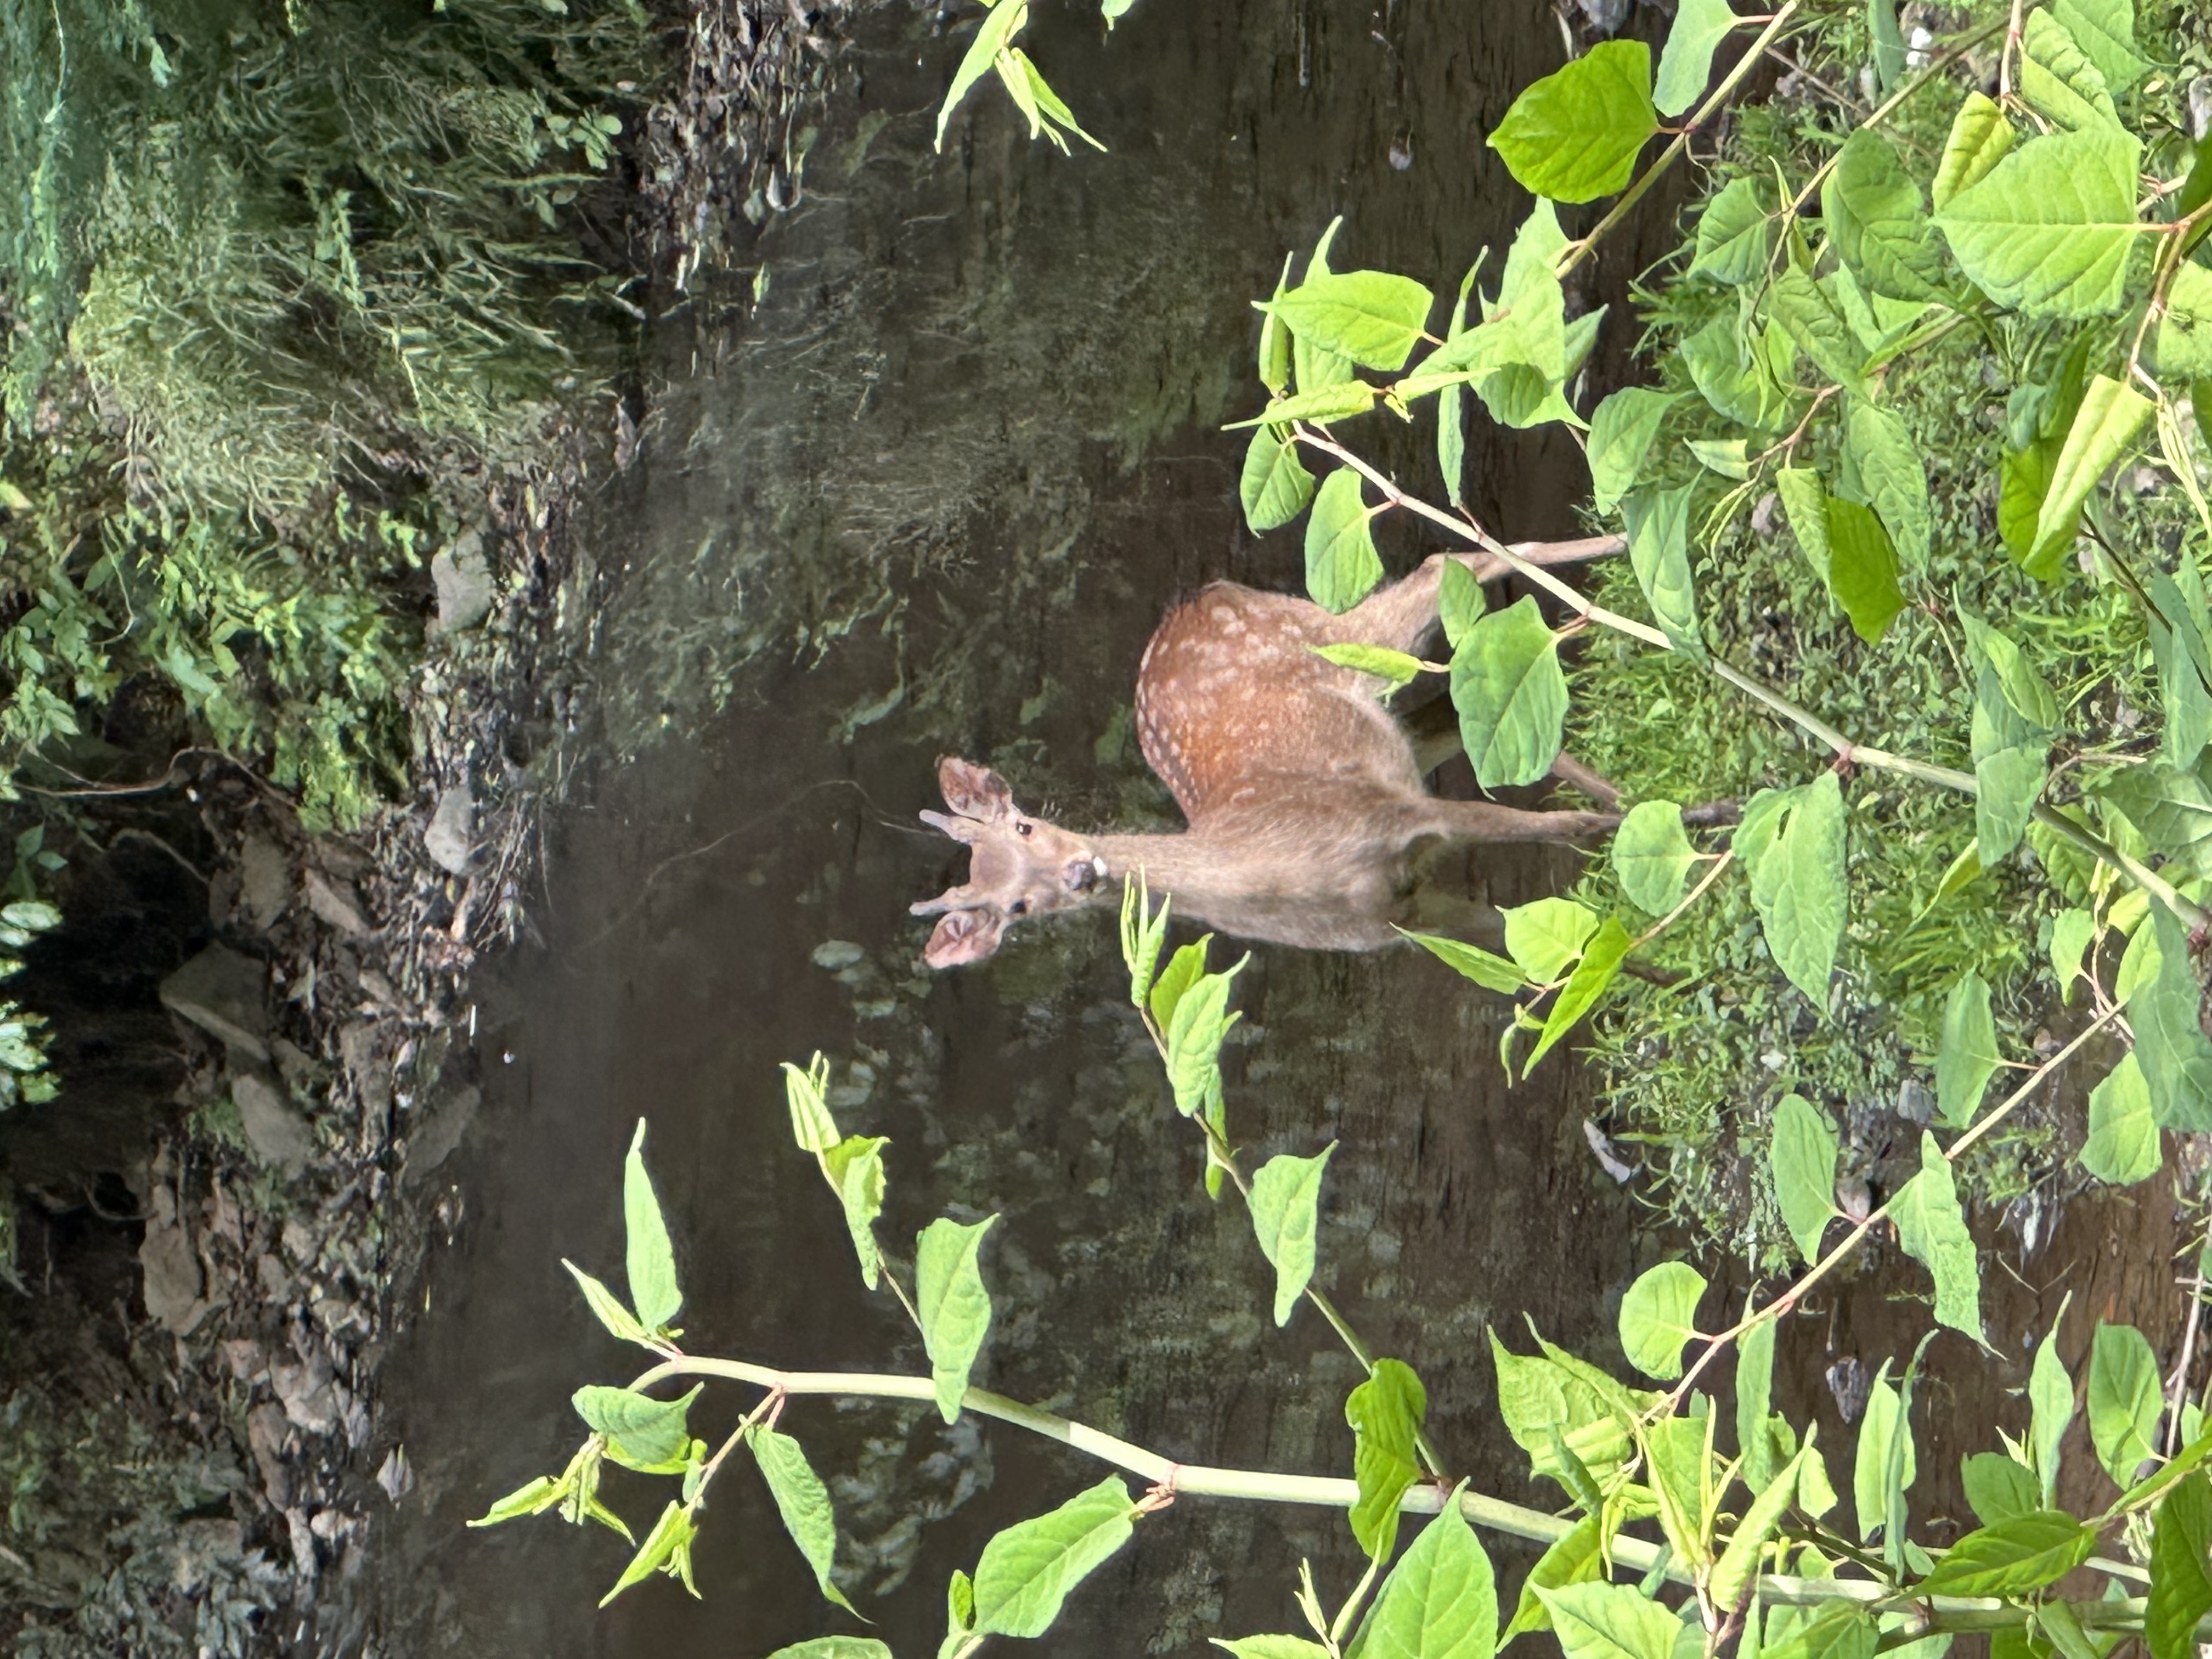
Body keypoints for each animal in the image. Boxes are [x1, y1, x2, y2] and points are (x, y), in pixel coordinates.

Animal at [913, 535, 1712, 968]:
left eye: (1026, 823)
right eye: (1015, 906)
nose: (1081, 872)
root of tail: (1201, 595)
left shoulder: (1392, 814)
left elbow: (1564, 828)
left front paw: (1709, 817)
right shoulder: (1408, 915)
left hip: (1341, 638)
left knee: (1441, 562)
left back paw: (1621, 552)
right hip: (1392, 717)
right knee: (1454, 703)